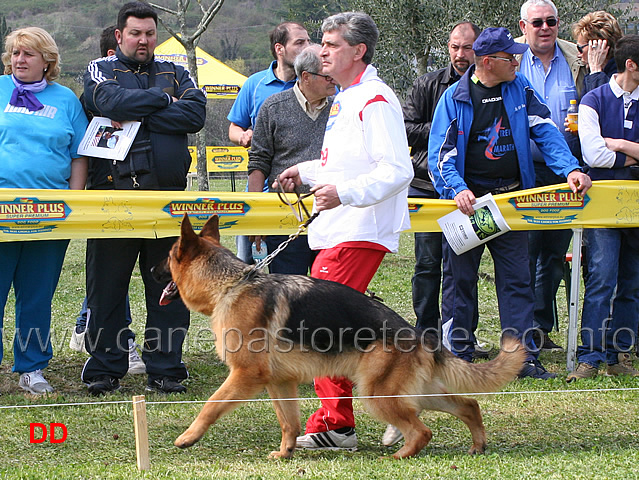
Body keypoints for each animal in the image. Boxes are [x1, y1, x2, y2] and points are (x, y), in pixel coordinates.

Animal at [154, 216, 524, 460]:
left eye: (168, 257)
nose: (153, 271)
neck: (230, 285)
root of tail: (420, 335)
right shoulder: (280, 382)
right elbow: (288, 421)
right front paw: (285, 453)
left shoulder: (245, 376)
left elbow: (210, 406)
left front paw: (187, 438)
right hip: (418, 391)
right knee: (468, 405)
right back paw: (477, 444)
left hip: (377, 394)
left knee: (423, 430)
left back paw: (400, 456)